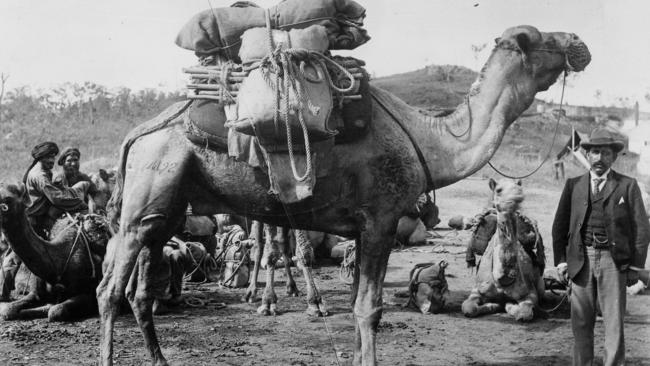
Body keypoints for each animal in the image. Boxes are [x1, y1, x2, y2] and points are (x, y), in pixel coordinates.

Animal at [96, 24, 588, 364]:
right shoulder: (380, 221)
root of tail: (139, 133)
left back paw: (160, 358)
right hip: (146, 192)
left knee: (140, 290)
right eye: (539, 37)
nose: (579, 44)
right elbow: (369, 309)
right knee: (109, 290)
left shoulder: (362, 228)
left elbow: (358, 305)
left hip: (167, 207)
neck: (429, 141)